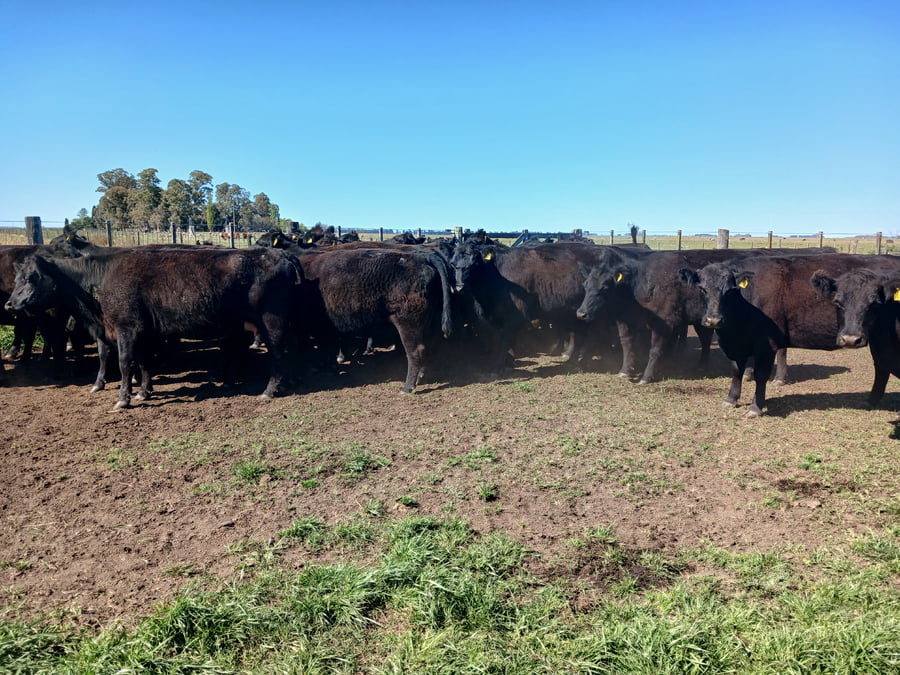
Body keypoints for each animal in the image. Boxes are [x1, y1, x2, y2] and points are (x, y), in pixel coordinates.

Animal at [6, 247, 304, 409]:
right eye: (17, 277)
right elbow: (143, 362)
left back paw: (269, 390)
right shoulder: (143, 332)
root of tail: (280, 253)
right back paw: (285, 383)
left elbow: (125, 363)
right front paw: (142, 392)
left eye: (32, 277)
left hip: (271, 319)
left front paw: (123, 399)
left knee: (279, 351)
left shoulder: (126, 328)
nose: (10, 304)